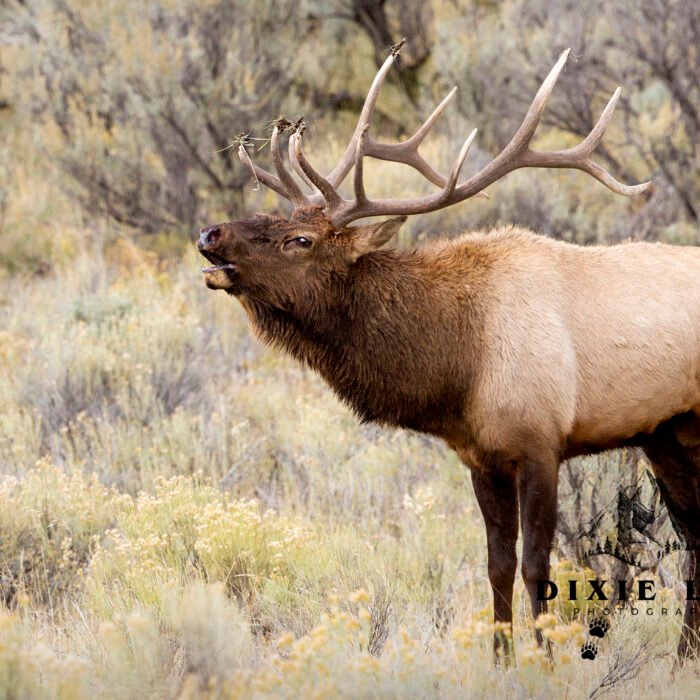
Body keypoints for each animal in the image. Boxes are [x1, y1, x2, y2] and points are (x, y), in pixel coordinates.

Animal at [198, 43, 700, 663]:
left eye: (300, 240)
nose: (210, 235)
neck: (460, 365)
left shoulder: (541, 441)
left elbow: (537, 568)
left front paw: (547, 662)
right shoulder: (481, 456)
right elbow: (497, 566)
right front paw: (502, 662)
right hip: (667, 434)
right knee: (699, 537)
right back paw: (683, 659)